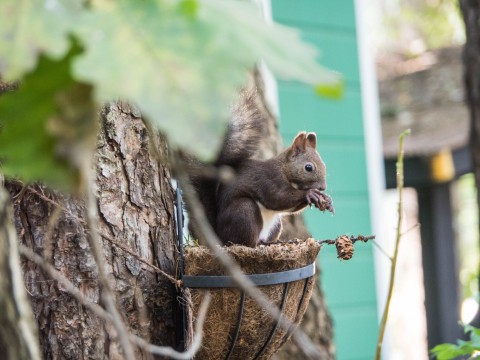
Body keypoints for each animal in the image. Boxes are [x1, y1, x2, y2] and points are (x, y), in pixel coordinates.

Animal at [188, 90, 334, 248]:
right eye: (308, 167)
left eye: (324, 165)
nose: (323, 187)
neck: (284, 170)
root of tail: (219, 237)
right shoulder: (268, 180)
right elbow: (278, 198)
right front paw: (310, 193)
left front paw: (327, 199)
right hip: (244, 211)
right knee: (243, 241)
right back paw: (255, 243)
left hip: (276, 224)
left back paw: (268, 242)